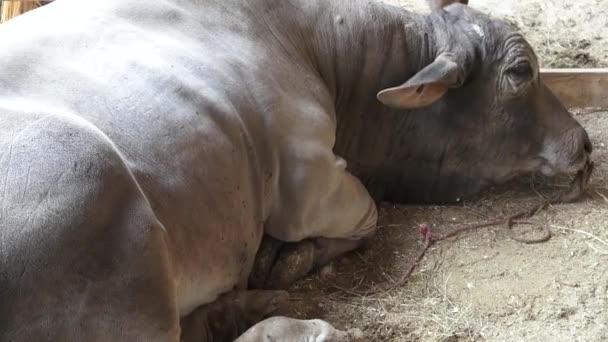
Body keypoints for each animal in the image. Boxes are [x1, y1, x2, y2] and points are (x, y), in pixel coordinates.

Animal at [0, 0, 592, 340]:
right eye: (520, 72)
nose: (585, 145)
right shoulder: (309, 179)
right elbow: (368, 218)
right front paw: (292, 257)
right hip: (90, 176)